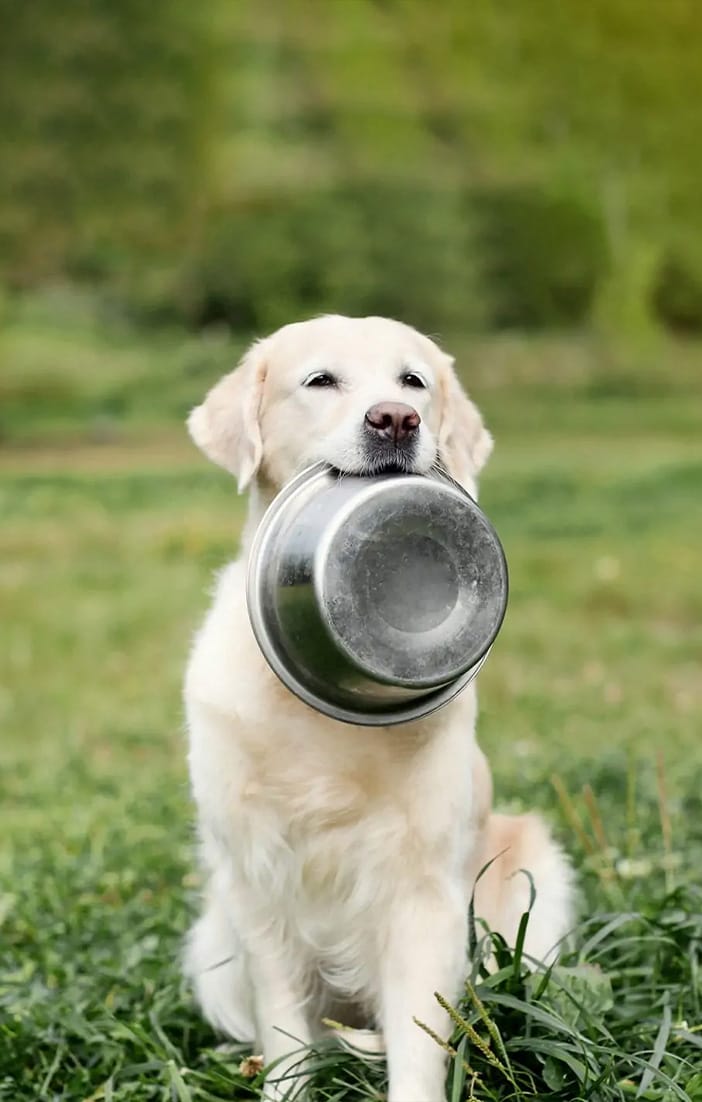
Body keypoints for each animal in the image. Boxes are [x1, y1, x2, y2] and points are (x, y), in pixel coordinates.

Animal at [182, 315, 573, 1097]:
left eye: (412, 381)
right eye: (320, 380)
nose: (396, 420)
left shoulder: (423, 895)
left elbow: (419, 1044)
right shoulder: (259, 884)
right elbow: (285, 1031)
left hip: (535, 878)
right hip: (213, 943)